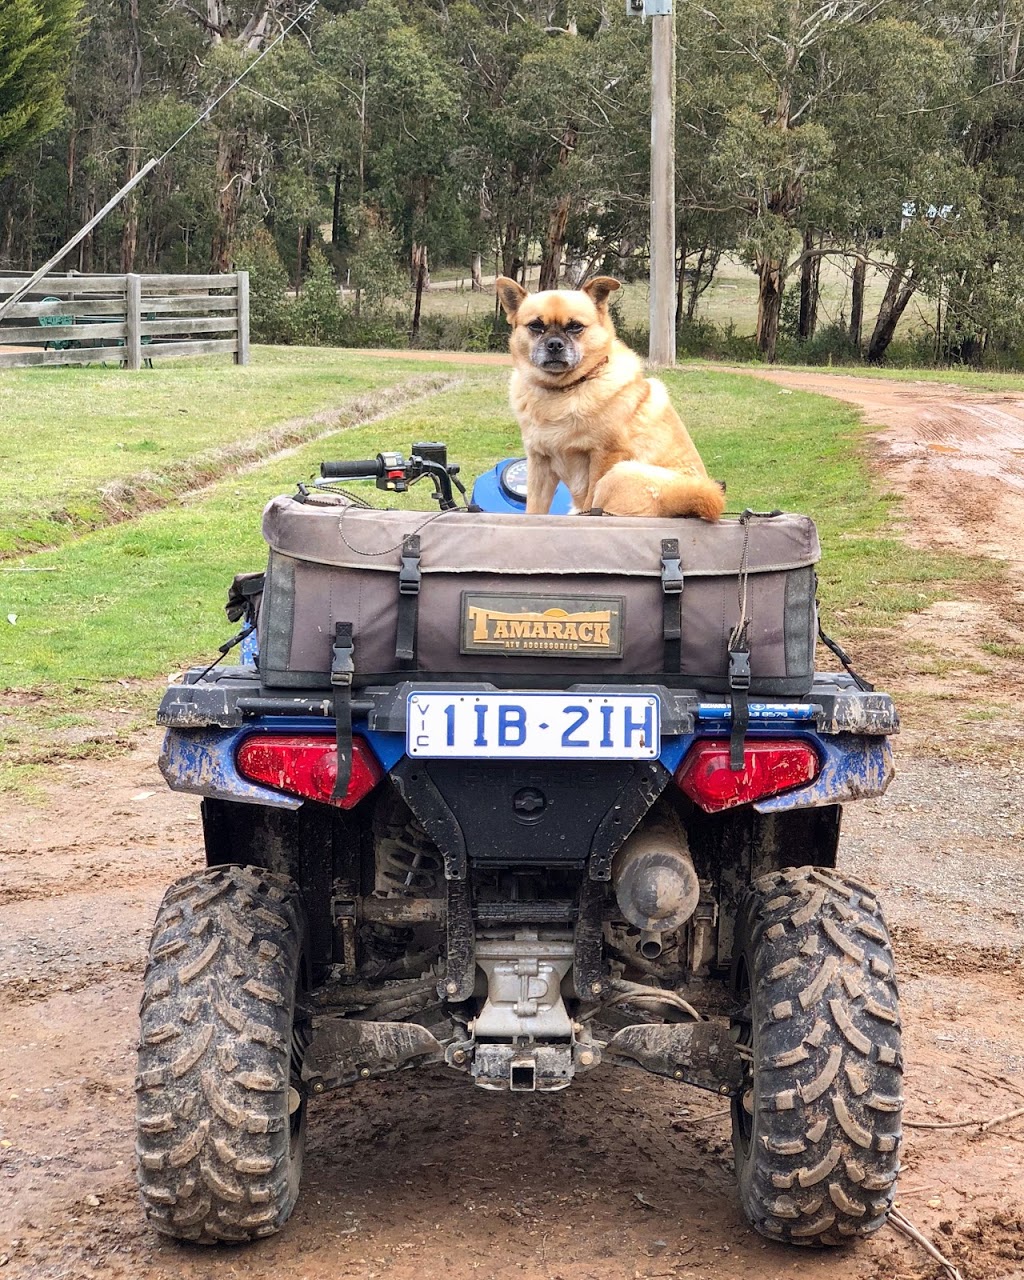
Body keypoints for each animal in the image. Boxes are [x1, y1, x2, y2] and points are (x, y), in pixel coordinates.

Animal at [499, 275, 721, 519]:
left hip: (619, 474)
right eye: (536, 326)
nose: (555, 344)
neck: (564, 390)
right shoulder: (540, 463)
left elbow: (589, 502)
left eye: (575, 326)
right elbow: (534, 510)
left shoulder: (604, 457)